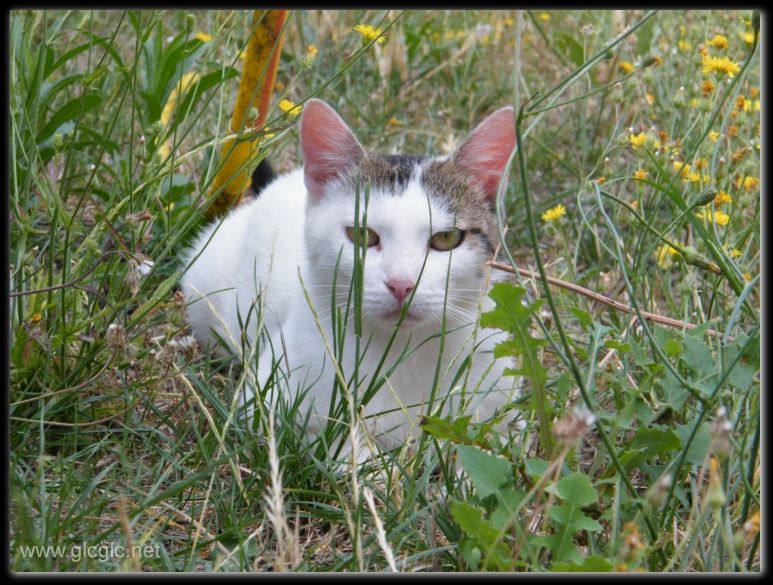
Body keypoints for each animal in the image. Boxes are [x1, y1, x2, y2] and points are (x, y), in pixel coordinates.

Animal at [180, 99, 520, 456]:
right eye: (362, 235)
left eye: (446, 238)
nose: (401, 284)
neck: (401, 349)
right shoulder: (267, 403)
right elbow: (337, 444)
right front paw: (375, 465)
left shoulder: (502, 408)